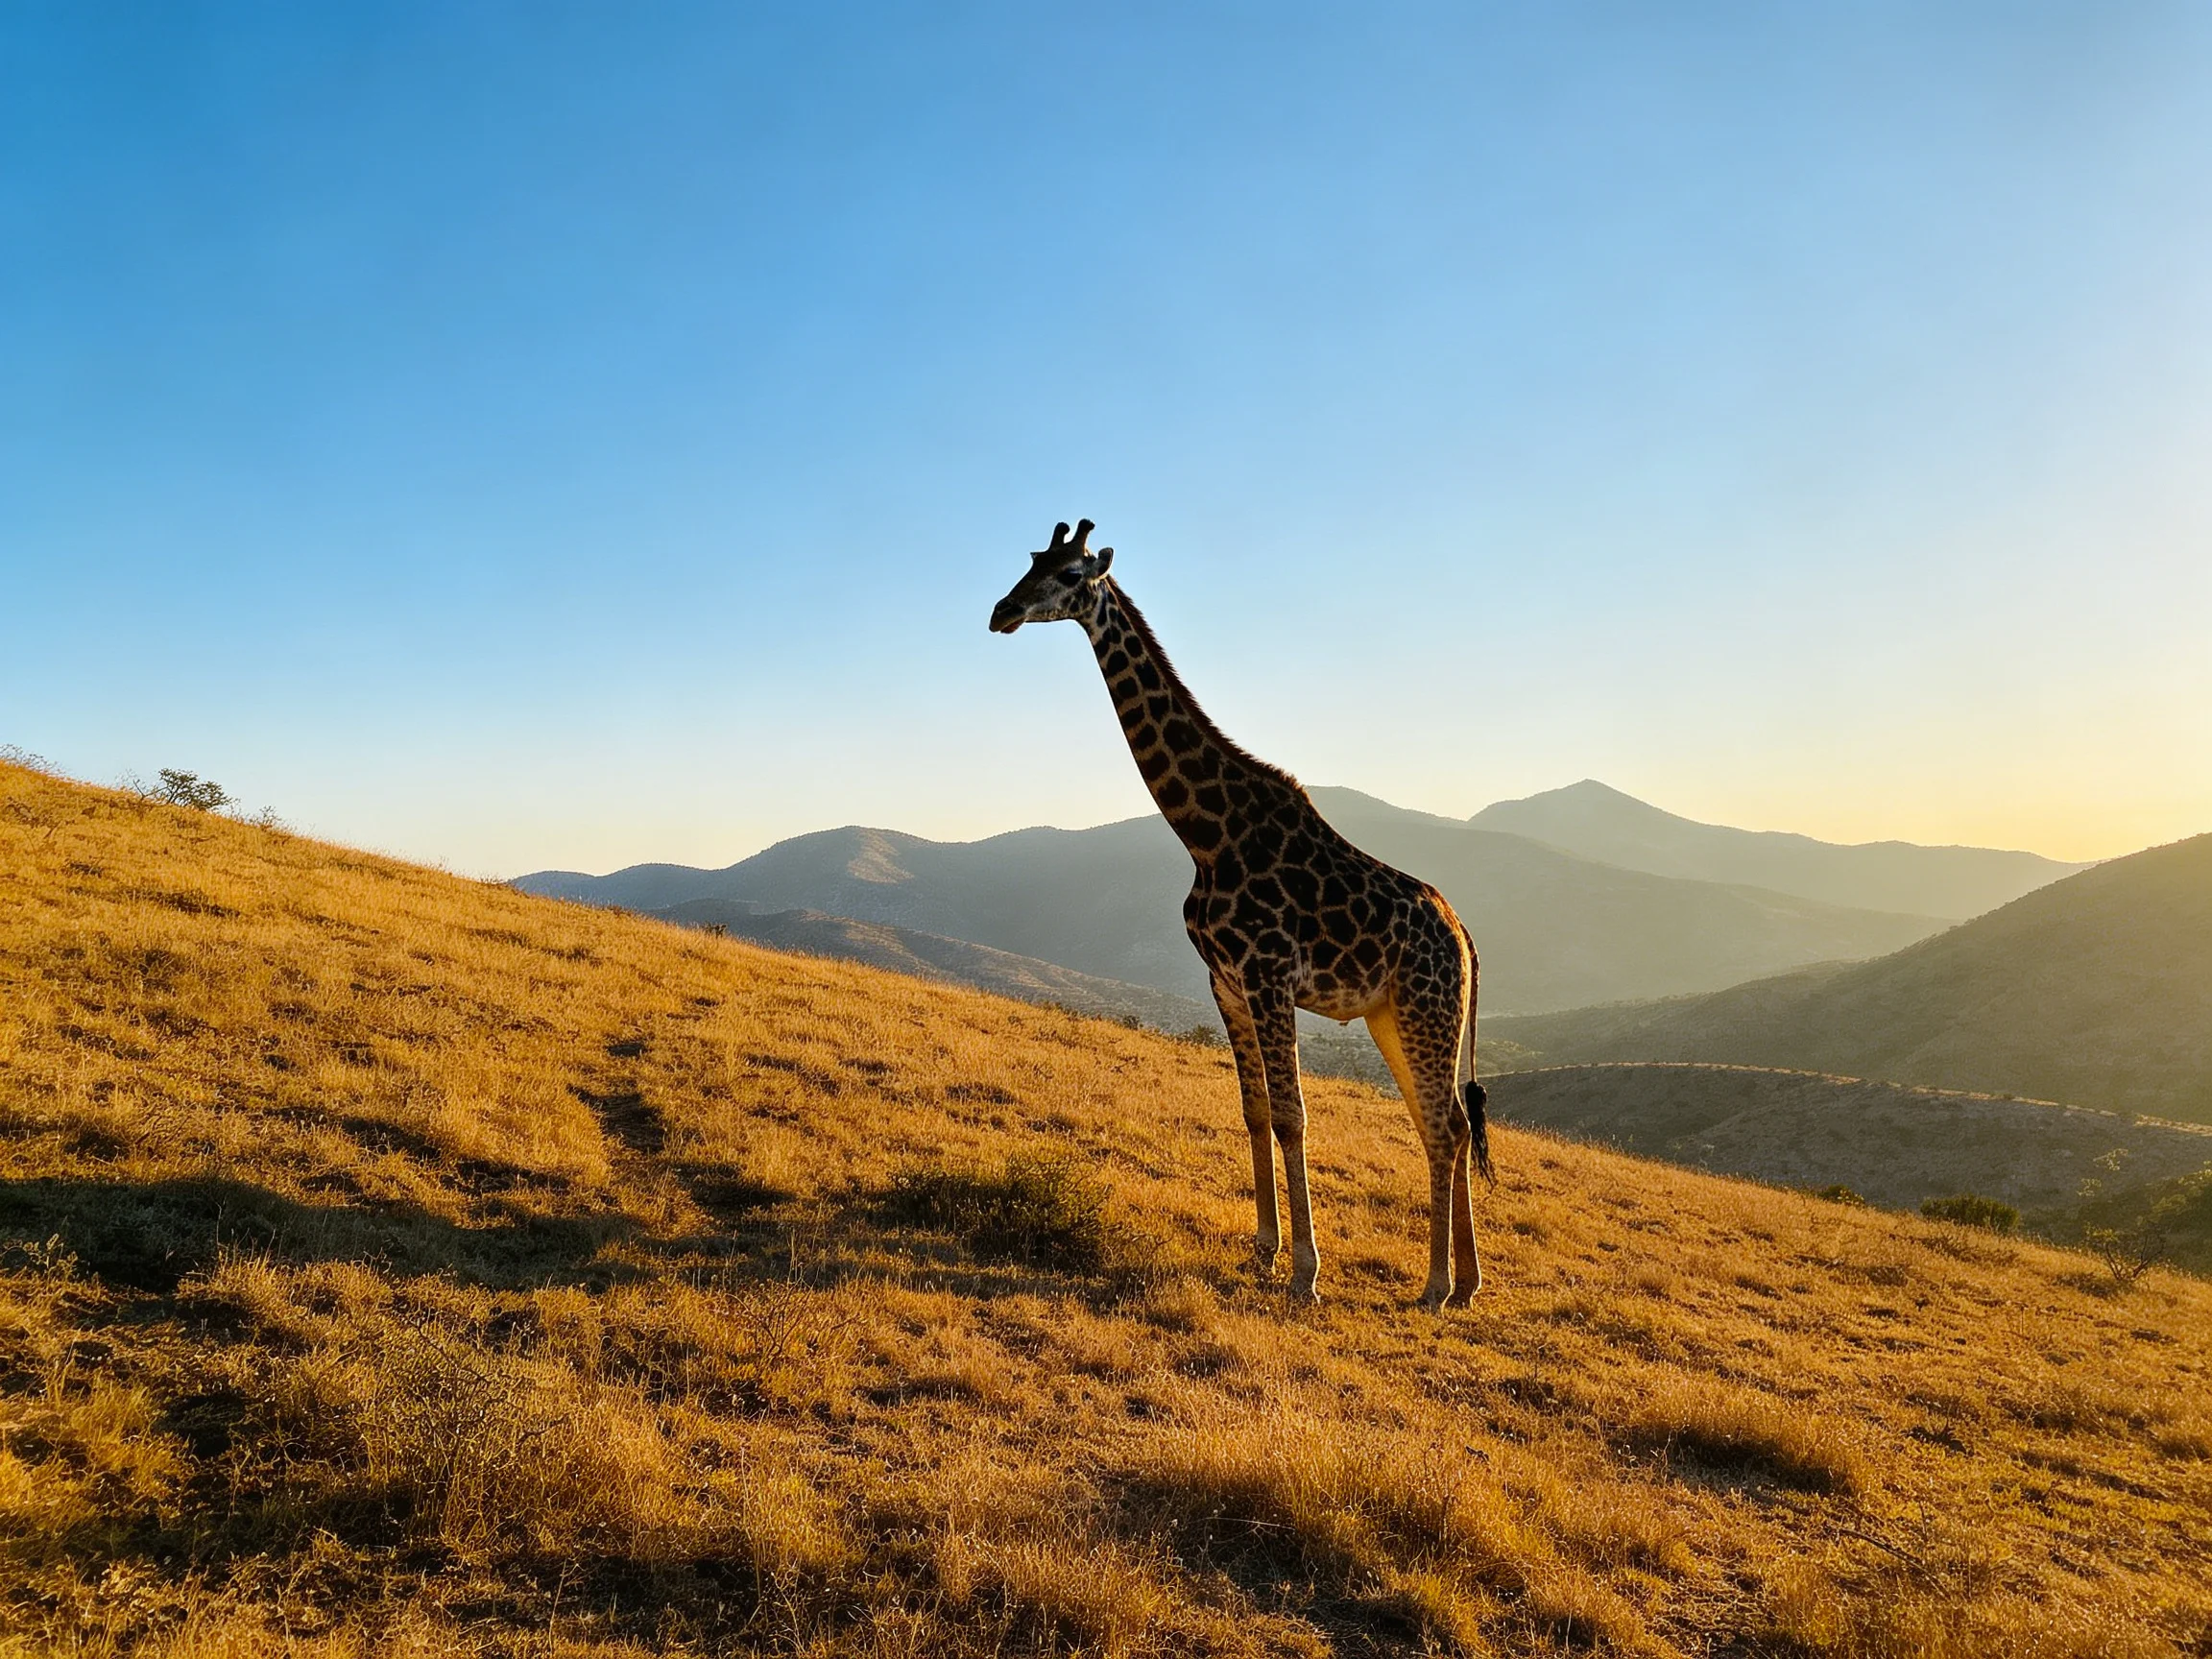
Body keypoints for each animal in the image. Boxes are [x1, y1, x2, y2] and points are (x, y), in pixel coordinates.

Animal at [991, 520, 1493, 1309]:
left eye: (1071, 574)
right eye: (1032, 561)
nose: (1001, 612)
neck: (1205, 833)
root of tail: (1466, 939)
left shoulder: (1268, 975)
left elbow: (1292, 1117)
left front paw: (1306, 1274)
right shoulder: (1224, 982)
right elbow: (1255, 1112)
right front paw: (1264, 1247)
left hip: (1425, 1008)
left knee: (1443, 1127)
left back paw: (1437, 1285)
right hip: (1394, 1014)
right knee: (1446, 1122)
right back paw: (1467, 1282)